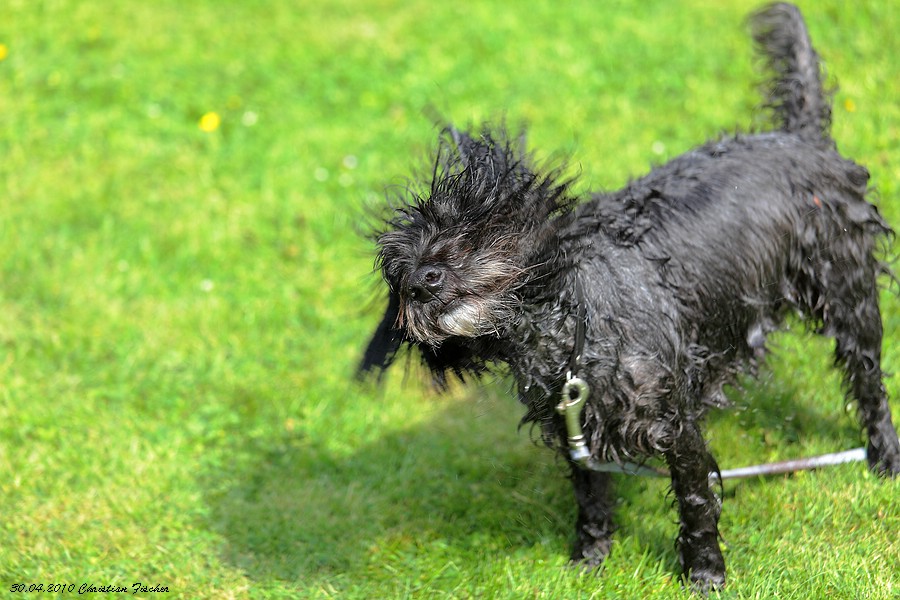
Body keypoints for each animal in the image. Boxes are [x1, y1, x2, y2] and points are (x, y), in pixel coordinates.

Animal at [358, 2, 900, 588]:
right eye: (396, 270)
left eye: (465, 235)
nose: (421, 281)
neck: (567, 339)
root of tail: (798, 138)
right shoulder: (572, 428)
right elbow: (591, 496)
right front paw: (589, 558)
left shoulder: (675, 421)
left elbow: (695, 498)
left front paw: (704, 573)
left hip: (848, 296)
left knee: (870, 384)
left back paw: (885, 457)